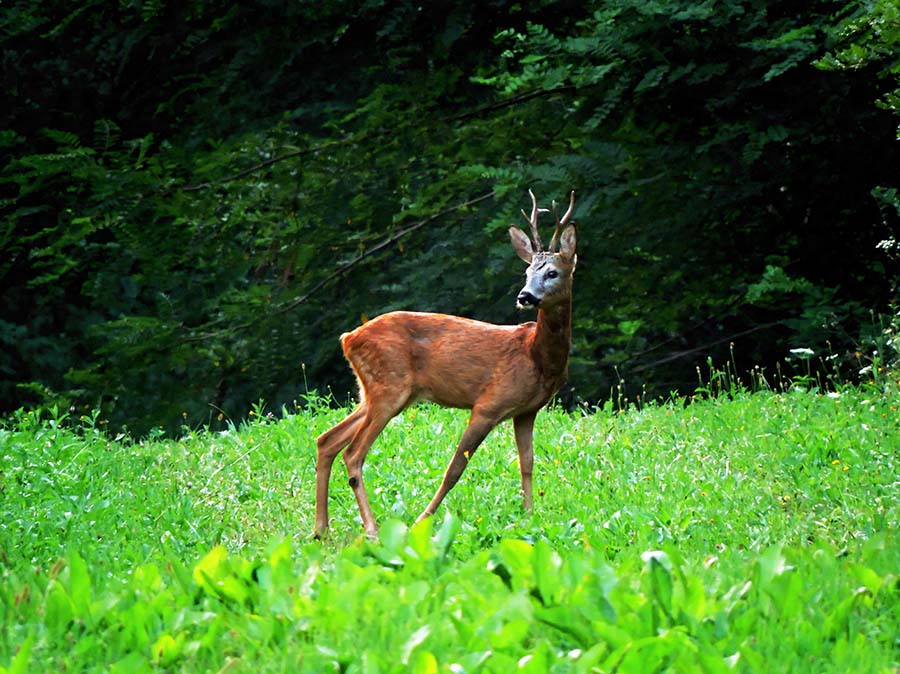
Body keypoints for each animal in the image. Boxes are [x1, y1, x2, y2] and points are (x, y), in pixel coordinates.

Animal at [314, 189, 576, 536]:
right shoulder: (489, 404)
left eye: (552, 272)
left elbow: (527, 463)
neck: (537, 356)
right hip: (389, 387)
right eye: (527, 273)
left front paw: (530, 516)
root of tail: (348, 338)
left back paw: (321, 529)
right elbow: (455, 468)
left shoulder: (526, 411)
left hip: (375, 392)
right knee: (353, 453)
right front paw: (422, 520)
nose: (525, 296)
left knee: (327, 440)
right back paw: (370, 529)